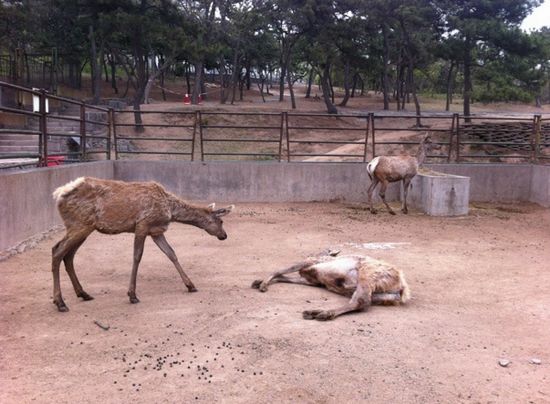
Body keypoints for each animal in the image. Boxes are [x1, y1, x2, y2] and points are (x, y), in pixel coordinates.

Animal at [50, 177, 234, 312]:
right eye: (221, 221)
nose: (224, 236)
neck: (169, 210)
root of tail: (59, 194)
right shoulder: (142, 225)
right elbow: (137, 257)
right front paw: (132, 295)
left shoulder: (156, 231)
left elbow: (171, 253)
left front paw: (190, 285)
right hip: (80, 224)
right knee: (57, 251)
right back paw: (60, 302)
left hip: (83, 227)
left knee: (68, 256)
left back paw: (83, 293)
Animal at [252, 252, 412, 322]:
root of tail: (401, 286)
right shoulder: (314, 281)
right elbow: (283, 276)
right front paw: (258, 282)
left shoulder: (309, 264)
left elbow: (279, 270)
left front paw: (262, 285)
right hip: (380, 295)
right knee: (361, 302)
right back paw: (316, 312)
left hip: (367, 275)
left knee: (362, 301)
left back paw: (321, 313)